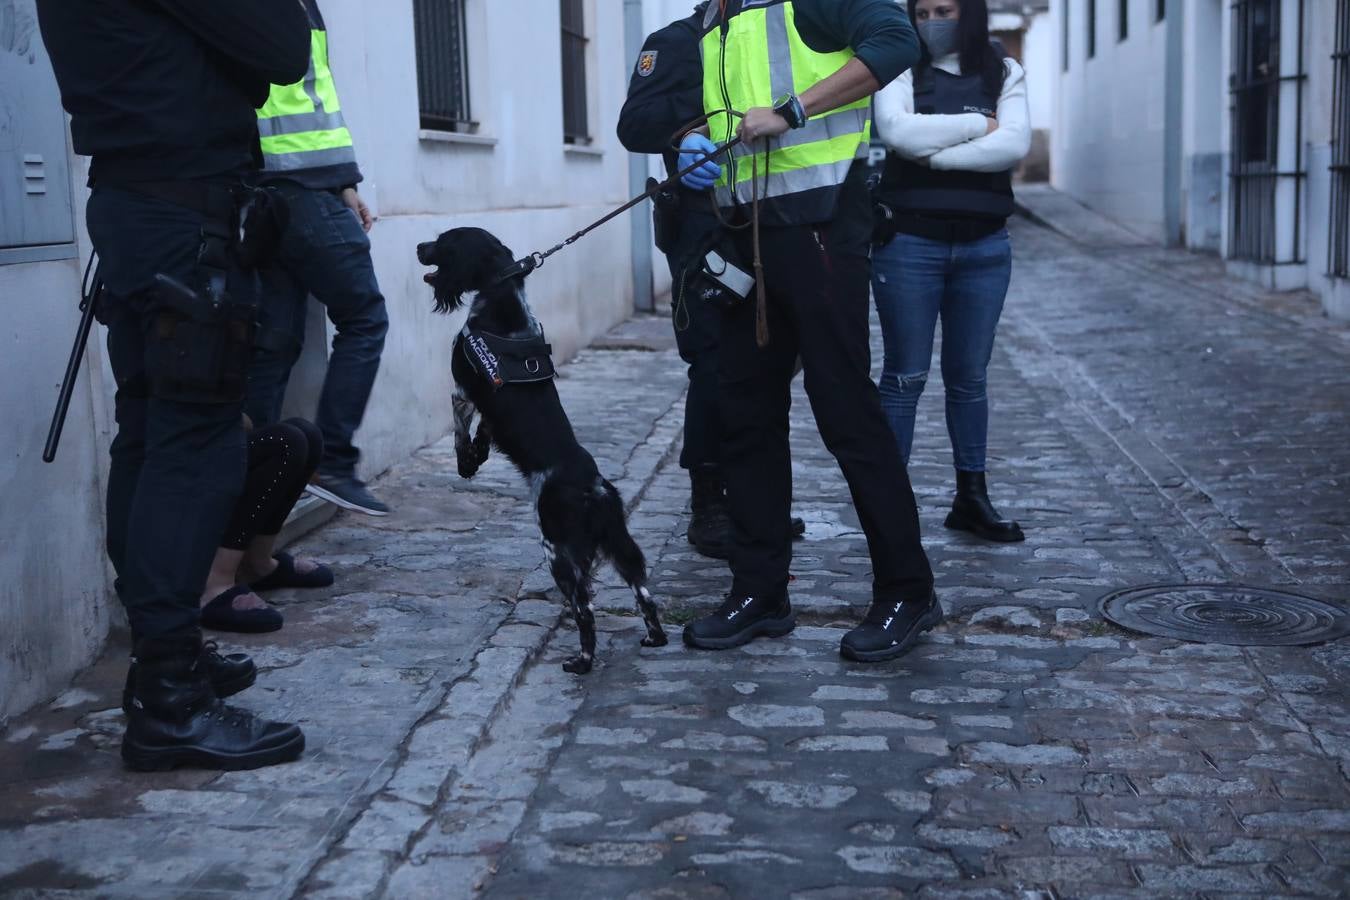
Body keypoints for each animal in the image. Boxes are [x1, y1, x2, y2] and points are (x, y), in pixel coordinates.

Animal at [410, 229, 664, 671]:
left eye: (443, 241)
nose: (419, 247)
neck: (502, 297)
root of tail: (594, 489)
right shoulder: (488, 411)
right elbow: (484, 434)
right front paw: (479, 455)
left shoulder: (461, 391)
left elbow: (460, 434)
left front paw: (465, 464)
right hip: (618, 544)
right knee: (643, 593)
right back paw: (653, 638)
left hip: (557, 551)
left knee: (584, 609)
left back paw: (581, 661)